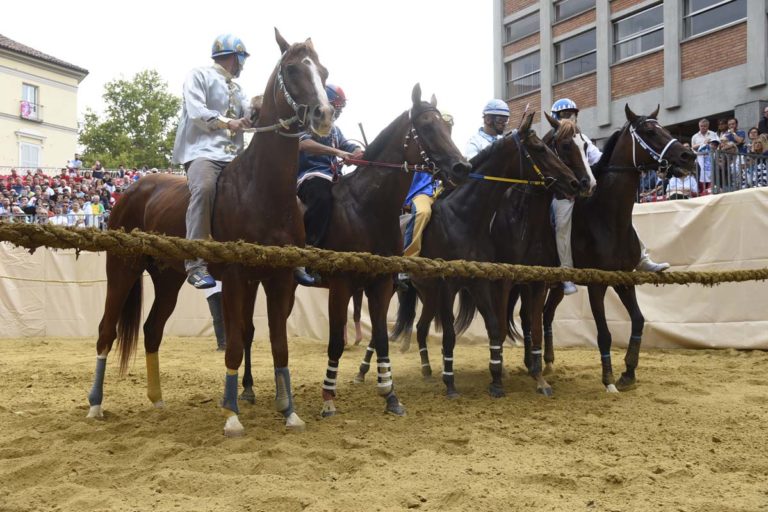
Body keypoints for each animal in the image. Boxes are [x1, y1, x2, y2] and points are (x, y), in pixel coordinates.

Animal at [87, 29, 332, 436]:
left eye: (324, 72)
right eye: (293, 69)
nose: (324, 115)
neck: (261, 189)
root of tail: (132, 191)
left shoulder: (280, 279)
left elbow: (278, 345)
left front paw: (289, 412)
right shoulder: (235, 278)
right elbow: (233, 343)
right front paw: (232, 414)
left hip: (168, 279)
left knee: (152, 330)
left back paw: (157, 400)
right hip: (122, 269)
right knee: (107, 329)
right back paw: (95, 404)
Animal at [390, 112, 584, 398]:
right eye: (540, 148)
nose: (575, 182)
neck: (463, 216)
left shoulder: (489, 282)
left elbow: (506, 326)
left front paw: (510, 379)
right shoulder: (456, 285)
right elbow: (455, 333)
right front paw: (454, 383)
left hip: (427, 292)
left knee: (422, 326)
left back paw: (426, 369)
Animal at [508, 103, 700, 392]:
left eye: (664, 128)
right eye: (649, 132)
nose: (688, 156)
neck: (607, 217)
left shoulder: (623, 279)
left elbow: (638, 321)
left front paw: (628, 372)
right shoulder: (596, 284)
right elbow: (604, 333)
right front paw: (609, 380)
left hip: (556, 286)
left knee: (545, 315)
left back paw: (548, 363)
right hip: (530, 282)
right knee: (527, 316)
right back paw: (534, 366)